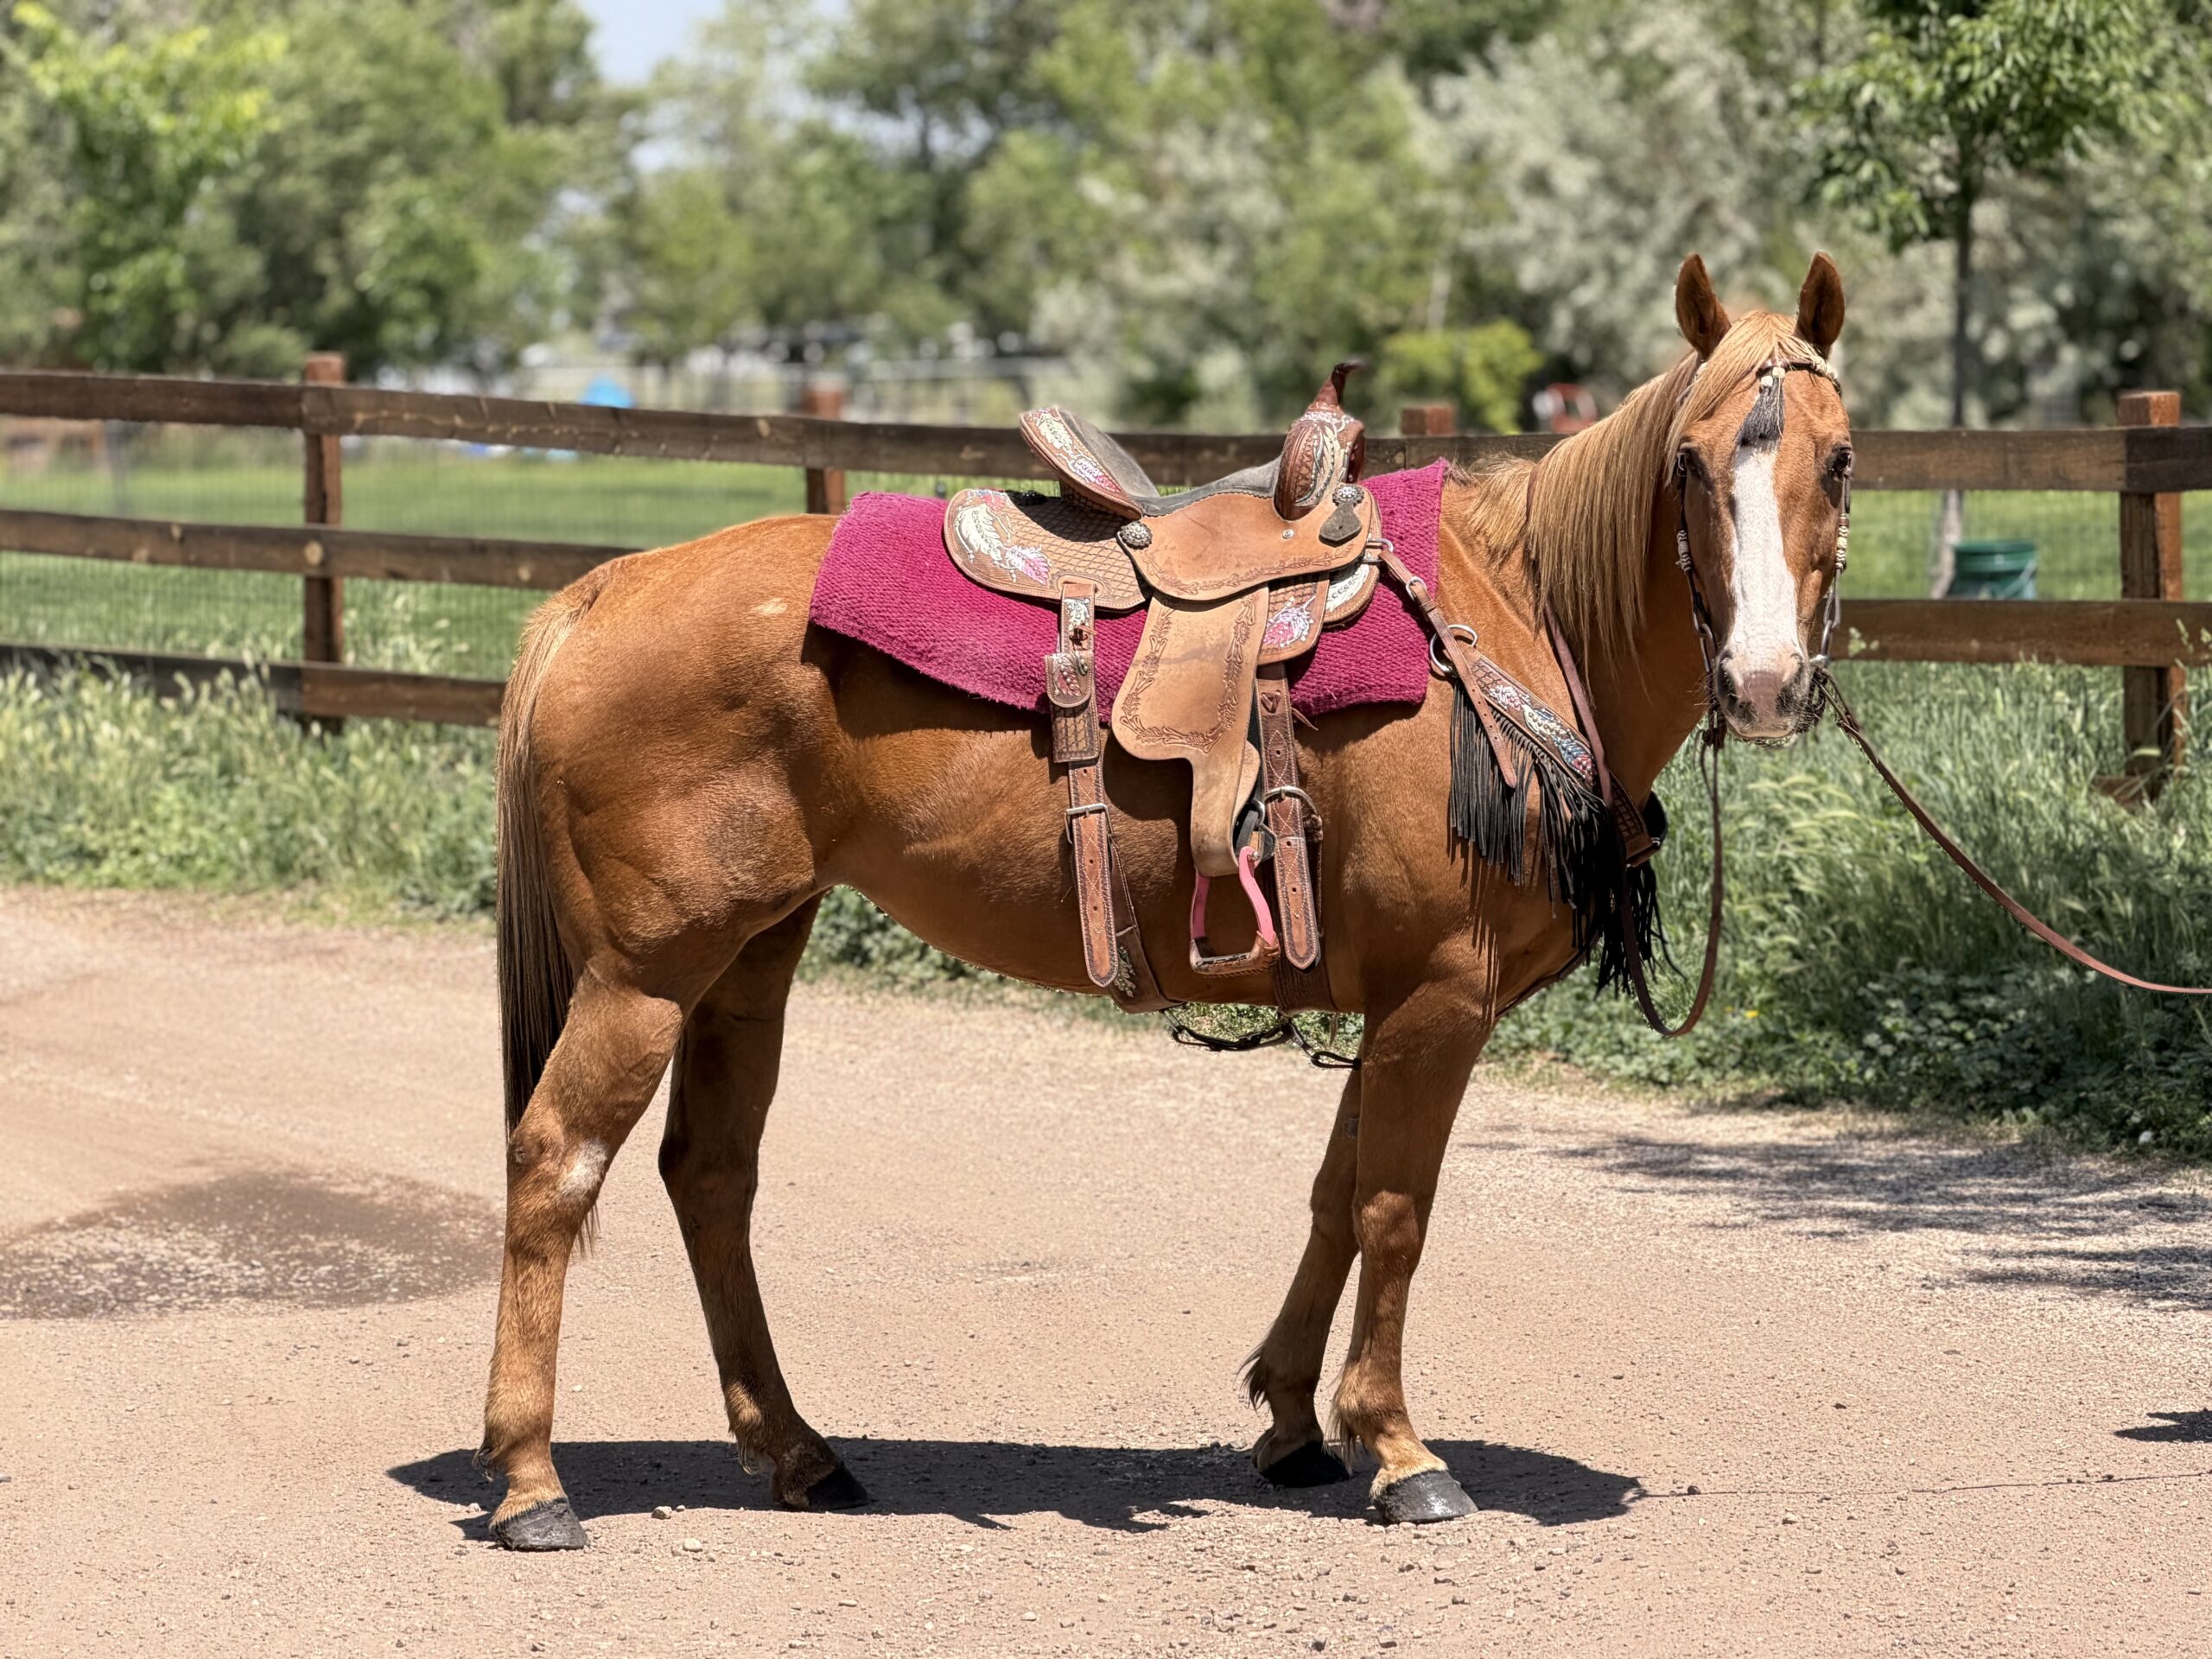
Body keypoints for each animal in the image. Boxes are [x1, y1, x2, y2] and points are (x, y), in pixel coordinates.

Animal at [476, 252, 1853, 1547]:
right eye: (1688, 462)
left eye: (1839, 463)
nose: (1765, 682)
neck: (1513, 618)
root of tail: (596, 595)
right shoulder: (1439, 998)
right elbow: (1395, 1211)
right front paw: (1399, 1449)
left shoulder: (1388, 1004)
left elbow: (1335, 1199)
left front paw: (1294, 1422)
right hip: (647, 971)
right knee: (556, 1163)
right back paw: (532, 1479)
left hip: (750, 957)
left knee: (711, 1176)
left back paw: (798, 1452)